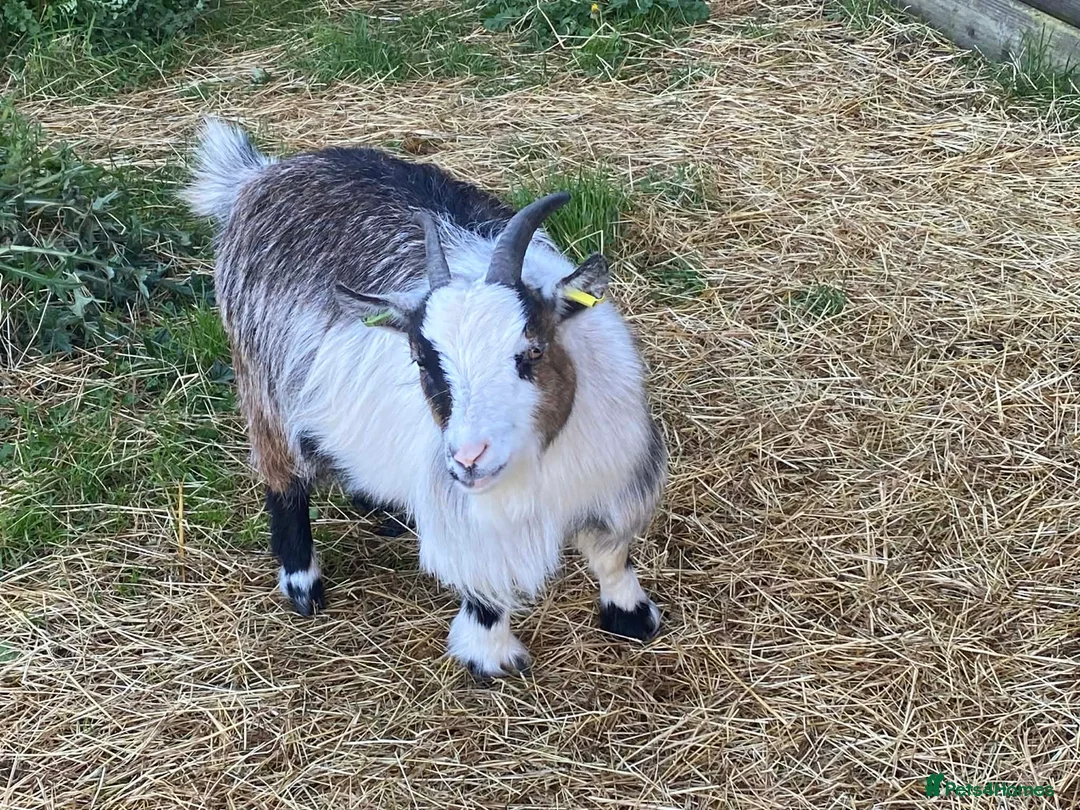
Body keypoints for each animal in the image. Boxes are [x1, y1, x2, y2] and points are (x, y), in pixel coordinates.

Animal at [181, 118, 667, 678]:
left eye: (532, 350)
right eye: (421, 360)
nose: (469, 457)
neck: (538, 460)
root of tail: (259, 175)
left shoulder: (613, 477)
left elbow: (611, 553)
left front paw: (632, 615)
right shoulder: (468, 514)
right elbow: (484, 582)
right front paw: (489, 655)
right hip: (262, 385)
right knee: (282, 478)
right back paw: (303, 584)